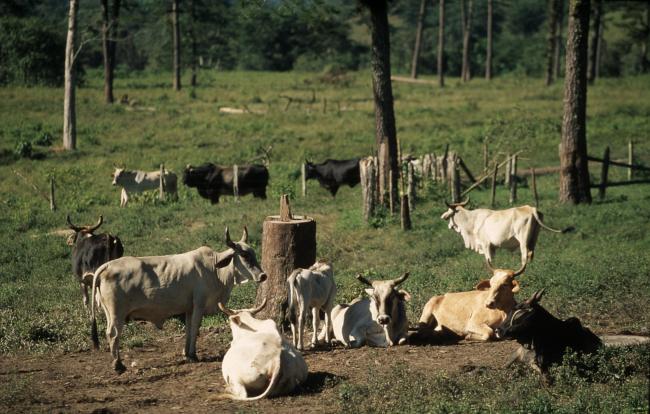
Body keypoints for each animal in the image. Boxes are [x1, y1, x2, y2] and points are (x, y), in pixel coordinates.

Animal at [89, 228, 266, 374]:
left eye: (253, 253)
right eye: (244, 255)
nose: (263, 275)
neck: (215, 270)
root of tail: (107, 266)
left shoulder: (189, 308)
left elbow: (188, 329)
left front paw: (186, 353)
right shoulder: (199, 305)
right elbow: (195, 328)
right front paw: (193, 355)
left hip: (109, 312)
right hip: (116, 313)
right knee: (113, 333)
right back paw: (118, 365)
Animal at [438, 200, 568, 266]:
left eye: (449, 210)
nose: (443, 216)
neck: (472, 220)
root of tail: (531, 208)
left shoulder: (486, 245)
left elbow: (489, 261)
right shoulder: (493, 248)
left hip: (523, 241)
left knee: (525, 256)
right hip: (533, 239)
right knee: (531, 254)